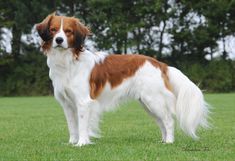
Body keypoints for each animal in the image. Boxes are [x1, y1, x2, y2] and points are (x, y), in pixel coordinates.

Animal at [35, 13, 208, 147]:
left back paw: (170, 142)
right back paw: (164, 141)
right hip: (148, 104)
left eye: (68, 31)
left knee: (169, 121)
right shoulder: (67, 104)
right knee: (162, 122)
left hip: (153, 100)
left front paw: (82, 143)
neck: (67, 62)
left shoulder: (83, 102)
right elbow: (72, 126)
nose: (59, 40)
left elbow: (82, 125)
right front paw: (72, 142)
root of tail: (160, 64)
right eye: (53, 30)